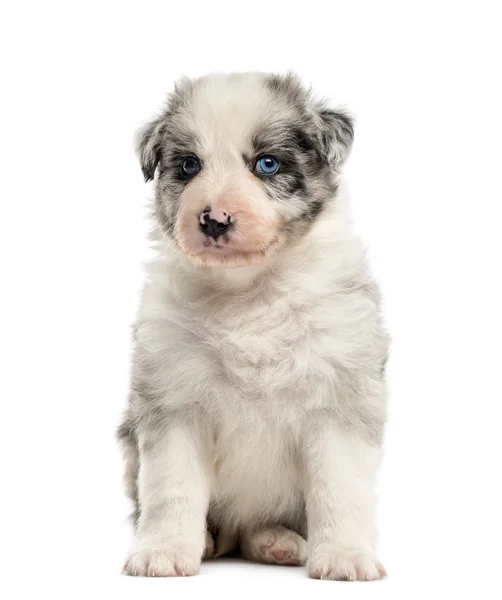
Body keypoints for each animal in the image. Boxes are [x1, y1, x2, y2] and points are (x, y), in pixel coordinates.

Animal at [117, 71, 388, 580]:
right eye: (188, 166)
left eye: (267, 164)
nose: (214, 220)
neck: (248, 292)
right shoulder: (174, 401)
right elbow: (171, 488)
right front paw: (164, 551)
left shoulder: (338, 397)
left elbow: (340, 488)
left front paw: (345, 556)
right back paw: (211, 540)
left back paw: (276, 541)